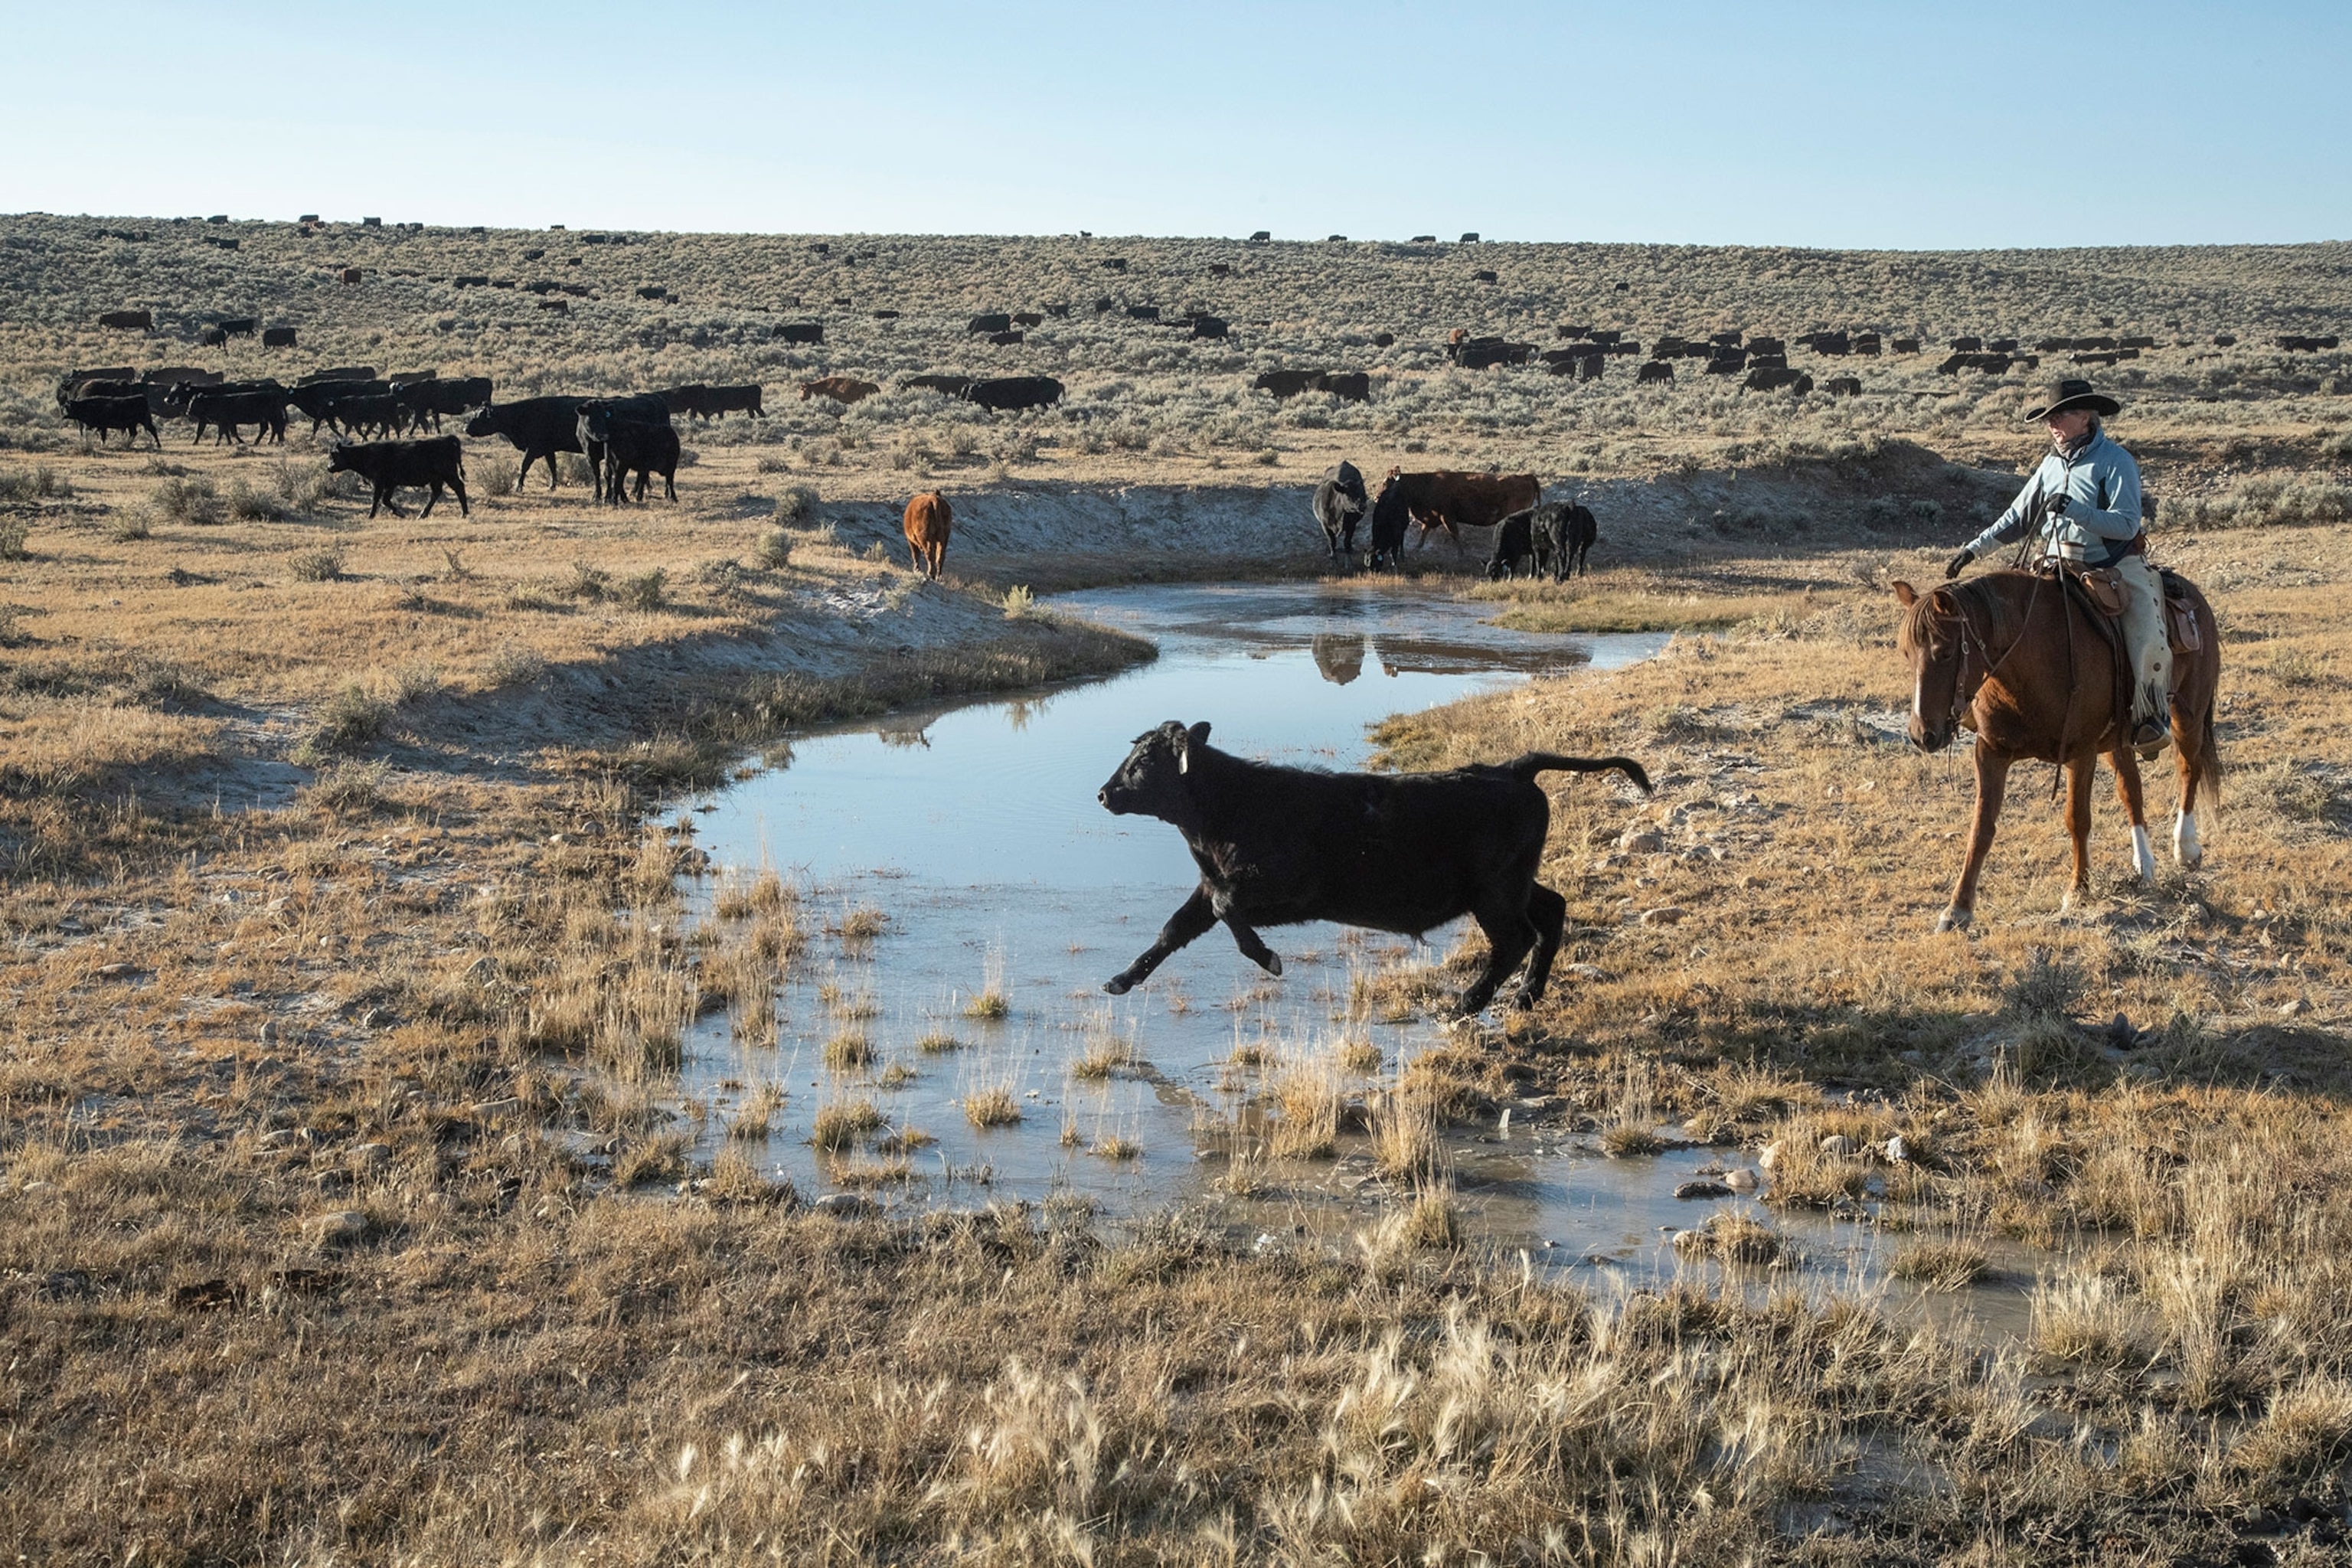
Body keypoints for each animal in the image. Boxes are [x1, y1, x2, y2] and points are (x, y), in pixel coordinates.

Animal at [328, 436, 468, 518]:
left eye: (334, 456)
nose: (329, 467)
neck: (366, 454)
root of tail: (447, 439)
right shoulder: (390, 484)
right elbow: (385, 500)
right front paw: (400, 513)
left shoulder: (379, 482)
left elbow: (377, 498)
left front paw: (371, 515)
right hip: (437, 479)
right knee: (436, 493)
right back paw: (422, 514)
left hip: (449, 475)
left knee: (459, 487)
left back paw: (464, 513)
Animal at [466, 396, 589, 490]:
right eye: (475, 414)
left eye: (482, 416)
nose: (466, 428)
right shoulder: (548, 450)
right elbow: (552, 466)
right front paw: (552, 486)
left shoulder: (533, 448)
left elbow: (524, 466)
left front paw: (518, 487)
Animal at [1095, 720, 1651, 1015]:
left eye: (1142, 764)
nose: (1103, 794)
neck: (1229, 809)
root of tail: (1513, 769)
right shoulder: (1210, 882)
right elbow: (1175, 928)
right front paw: (1121, 979)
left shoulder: (1280, 885)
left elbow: (1226, 909)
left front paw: (1270, 959)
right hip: (1515, 883)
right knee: (1551, 910)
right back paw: (1526, 998)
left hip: (1494, 892)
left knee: (1514, 939)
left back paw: (1467, 1005)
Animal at [1311, 461, 1368, 560]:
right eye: (1348, 495)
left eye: (1361, 493)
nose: (1362, 506)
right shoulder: (1325, 525)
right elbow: (1332, 541)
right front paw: (1333, 555)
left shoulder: (1352, 525)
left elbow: (1347, 541)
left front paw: (1348, 555)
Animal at [1388, 469, 1541, 552]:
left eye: (1387, 482)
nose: (1381, 495)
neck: (1427, 483)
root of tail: (1527, 477)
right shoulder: (1433, 518)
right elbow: (1424, 532)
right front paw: (1416, 548)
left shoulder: (1447, 517)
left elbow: (1454, 534)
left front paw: (1461, 554)